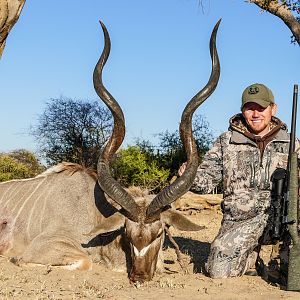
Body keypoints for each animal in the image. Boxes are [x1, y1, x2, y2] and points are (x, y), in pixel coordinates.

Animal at [0, 19, 220, 282]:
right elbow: (84, 262)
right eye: (127, 232)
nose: (140, 276)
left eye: (159, 233)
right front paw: (16, 260)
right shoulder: (46, 246)